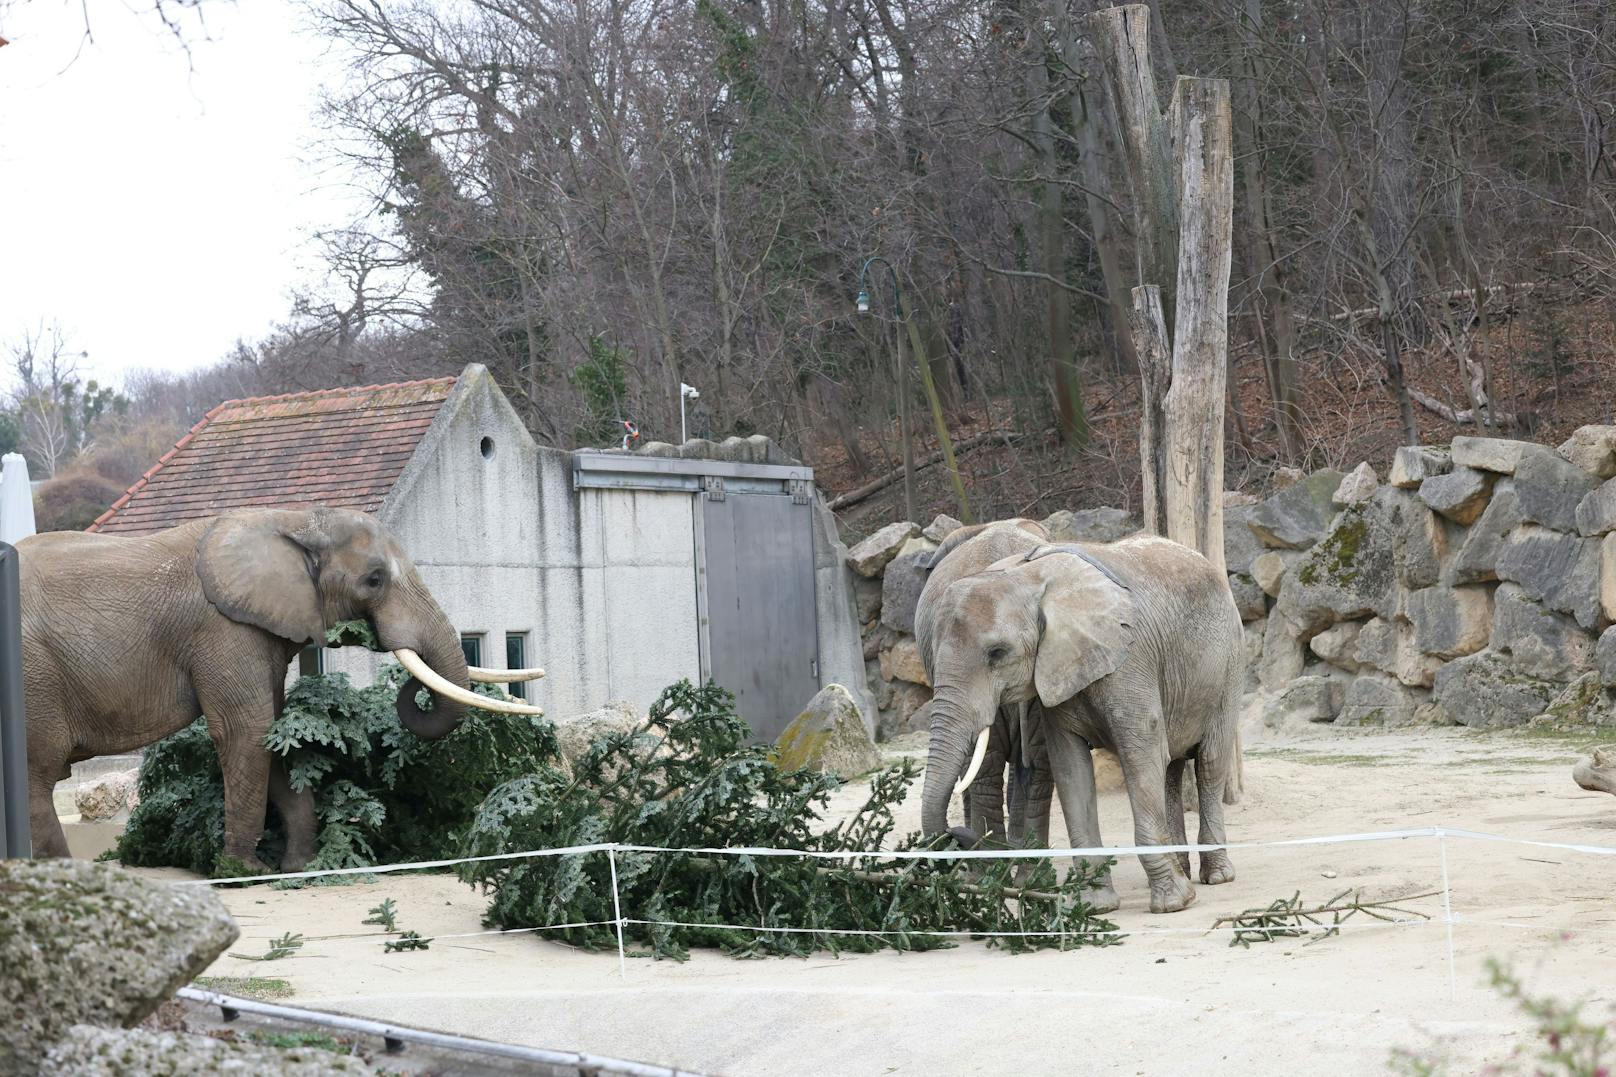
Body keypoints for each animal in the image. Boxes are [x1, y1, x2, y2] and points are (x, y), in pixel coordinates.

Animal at [917, 533, 1241, 912]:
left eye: (997, 653)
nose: (957, 835)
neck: (1027, 578)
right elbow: (1071, 768)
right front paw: (1094, 906)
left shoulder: (1130, 658)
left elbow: (1142, 754)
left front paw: (1173, 903)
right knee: (1172, 769)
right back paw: (1185, 869)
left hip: (1229, 664)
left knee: (1209, 763)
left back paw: (1217, 876)